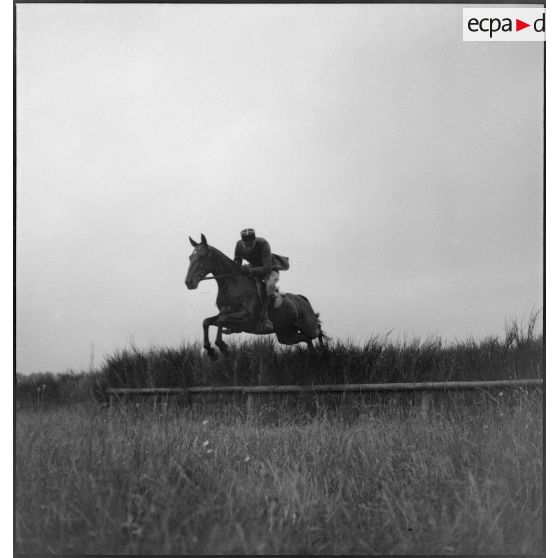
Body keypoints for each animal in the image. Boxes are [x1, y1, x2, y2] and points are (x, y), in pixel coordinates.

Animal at [186, 234, 326, 360]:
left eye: (202, 256)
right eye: (190, 257)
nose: (189, 282)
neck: (232, 285)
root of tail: (302, 299)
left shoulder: (246, 317)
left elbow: (221, 320)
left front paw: (223, 347)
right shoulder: (227, 314)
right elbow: (207, 322)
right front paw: (211, 352)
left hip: (308, 327)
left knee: (317, 332)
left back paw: (323, 350)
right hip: (286, 335)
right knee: (306, 339)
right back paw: (314, 355)